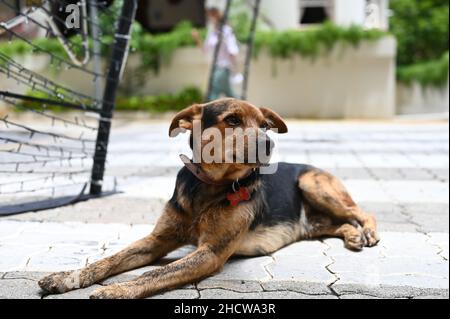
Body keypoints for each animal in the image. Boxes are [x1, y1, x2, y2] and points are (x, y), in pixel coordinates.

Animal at [38, 99, 378, 298]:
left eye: (265, 125)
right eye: (233, 120)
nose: (268, 144)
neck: (211, 188)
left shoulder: (211, 252)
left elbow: (156, 271)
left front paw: (117, 290)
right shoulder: (158, 238)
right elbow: (108, 260)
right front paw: (66, 277)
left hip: (312, 183)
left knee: (361, 212)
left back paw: (368, 232)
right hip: (312, 220)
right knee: (340, 223)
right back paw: (353, 236)